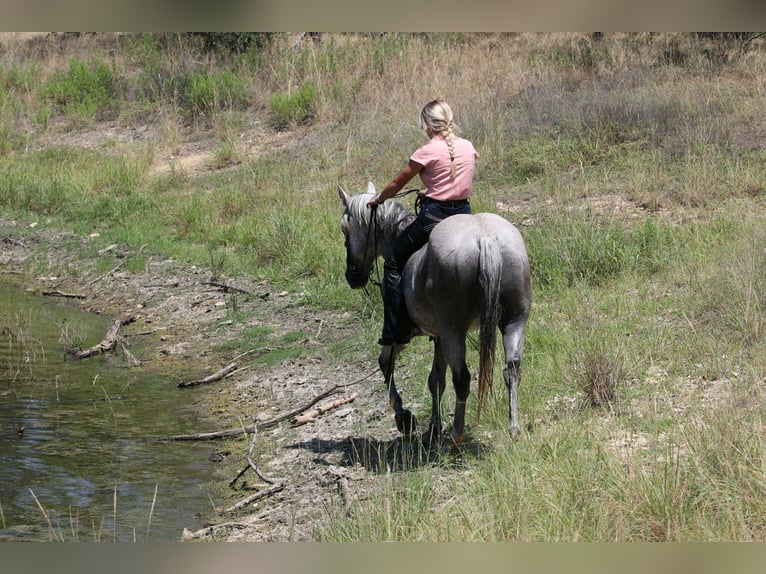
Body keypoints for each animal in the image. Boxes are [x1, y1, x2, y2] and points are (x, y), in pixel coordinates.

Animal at [338, 182, 532, 447]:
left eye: (345, 229)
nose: (352, 276)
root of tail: (485, 236)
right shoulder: (438, 336)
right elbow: (436, 380)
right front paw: (433, 427)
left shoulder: (402, 335)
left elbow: (386, 363)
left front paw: (404, 418)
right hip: (514, 321)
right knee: (511, 370)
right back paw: (513, 428)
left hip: (453, 331)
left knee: (462, 378)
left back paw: (457, 435)